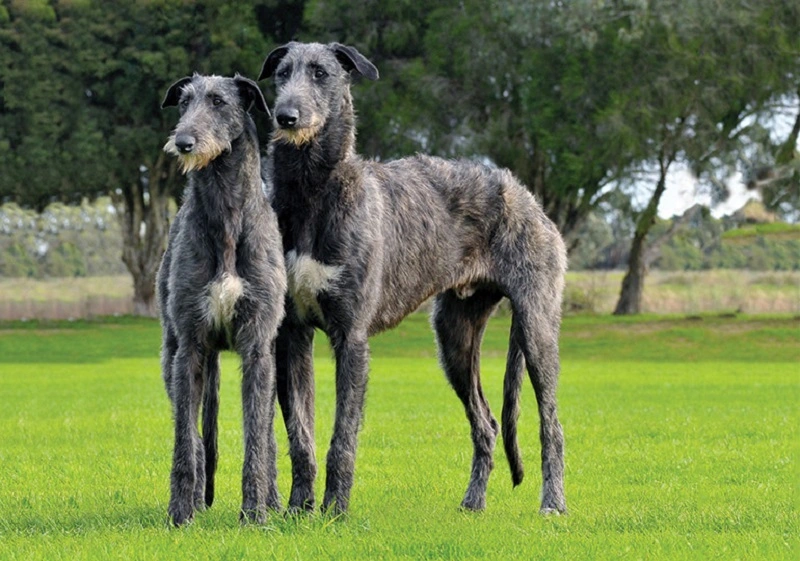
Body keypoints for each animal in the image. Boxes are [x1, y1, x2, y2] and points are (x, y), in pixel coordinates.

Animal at [158, 73, 286, 524]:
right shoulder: (190, 347)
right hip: (173, 357)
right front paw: (180, 512)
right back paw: (197, 498)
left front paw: (255, 513)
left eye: (218, 101)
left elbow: (256, 438)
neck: (227, 215)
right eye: (184, 102)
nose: (182, 142)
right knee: (196, 434)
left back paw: (272, 500)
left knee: (267, 434)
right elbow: (185, 438)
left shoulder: (257, 347)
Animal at [260, 42, 564, 516]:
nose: (285, 117)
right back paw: (473, 502)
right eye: (282, 73)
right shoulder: (291, 334)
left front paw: (335, 511)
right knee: (487, 422)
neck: (314, 192)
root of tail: (524, 193)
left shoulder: (351, 336)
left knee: (551, 424)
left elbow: (342, 437)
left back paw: (553, 503)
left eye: (321, 73)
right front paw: (298, 509)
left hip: (537, 328)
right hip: (455, 339)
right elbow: (300, 435)